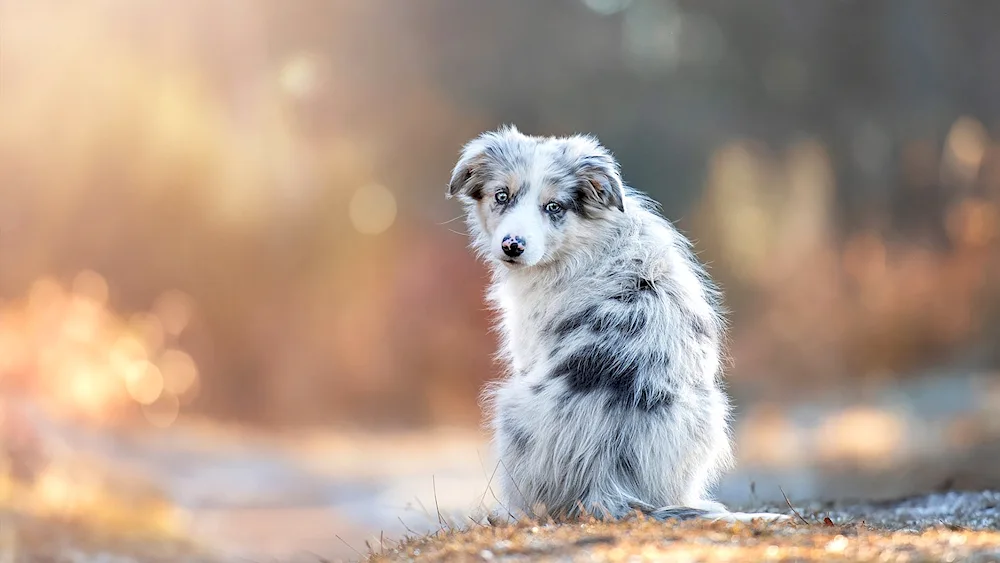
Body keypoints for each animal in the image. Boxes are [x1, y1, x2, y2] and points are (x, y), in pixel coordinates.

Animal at [448, 126, 788, 524]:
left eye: (554, 207)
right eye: (502, 196)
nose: (512, 245)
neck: (587, 240)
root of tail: (605, 480)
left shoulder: (527, 349)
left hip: (509, 410)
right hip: (711, 412)